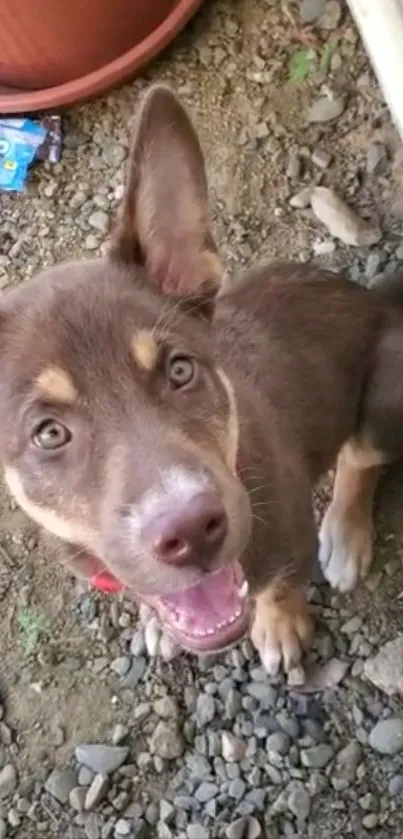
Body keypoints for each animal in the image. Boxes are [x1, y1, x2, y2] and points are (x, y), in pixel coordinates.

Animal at [0, 85, 403, 676]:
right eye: (49, 433)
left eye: (180, 370)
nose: (190, 532)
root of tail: (375, 297)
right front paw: (154, 620)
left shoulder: (290, 536)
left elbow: (282, 583)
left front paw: (280, 625)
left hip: (386, 390)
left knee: (361, 458)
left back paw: (346, 536)